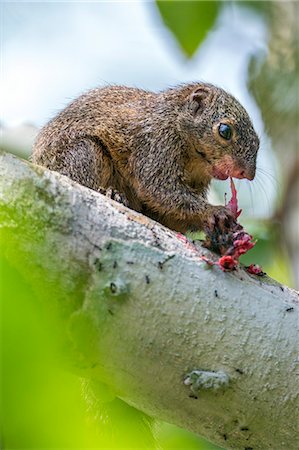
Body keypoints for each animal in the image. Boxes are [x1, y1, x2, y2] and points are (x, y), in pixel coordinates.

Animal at [31, 82, 260, 234]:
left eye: (258, 143)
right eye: (224, 131)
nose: (247, 173)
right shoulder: (156, 144)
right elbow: (158, 189)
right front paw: (214, 211)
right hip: (84, 153)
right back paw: (110, 193)